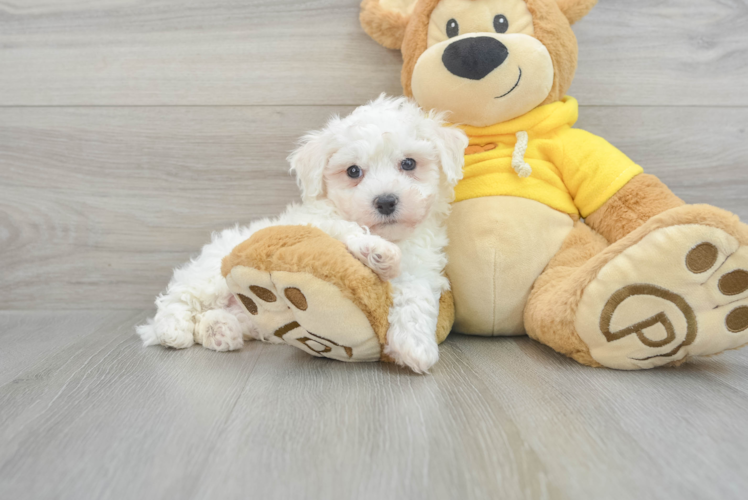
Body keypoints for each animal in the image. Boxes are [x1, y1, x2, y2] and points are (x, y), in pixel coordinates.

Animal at [136, 95, 468, 374]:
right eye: (353, 171)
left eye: (409, 163)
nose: (385, 201)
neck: (397, 237)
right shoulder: (314, 220)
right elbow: (346, 229)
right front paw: (377, 251)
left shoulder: (423, 268)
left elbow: (417, 296)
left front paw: (415, 346)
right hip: (210, 275)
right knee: (178, 300)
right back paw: (172, 329)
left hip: (247, 317)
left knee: (215, 318)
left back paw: (220, 330)